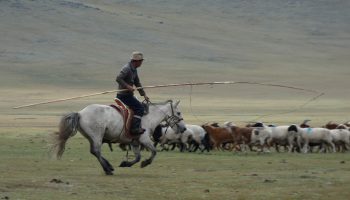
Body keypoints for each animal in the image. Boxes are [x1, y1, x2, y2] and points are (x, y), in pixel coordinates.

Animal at [50, 100, 186, 175]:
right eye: (179, 113)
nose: (184, 129)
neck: (149, 117)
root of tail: (80, 113)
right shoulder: (144, 139)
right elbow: (153, 152)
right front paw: (145, 163)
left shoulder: (135, 142)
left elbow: (137, 157)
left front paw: (125, 164)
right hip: (97, 136)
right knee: (96, 151)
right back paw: (108, 169)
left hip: (91, 137)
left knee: (94, 151)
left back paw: (109, 167)